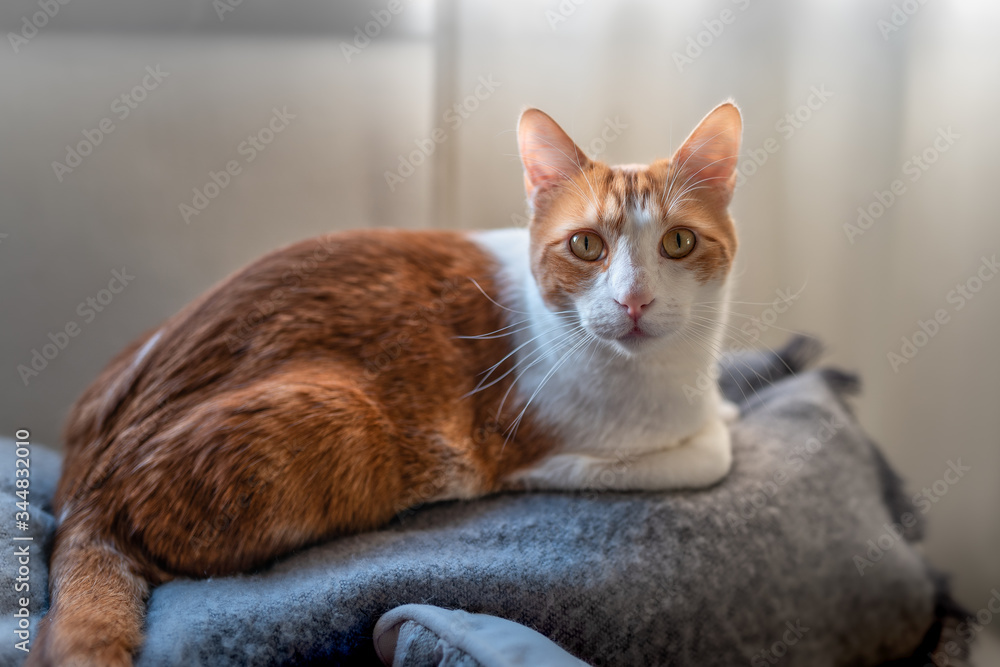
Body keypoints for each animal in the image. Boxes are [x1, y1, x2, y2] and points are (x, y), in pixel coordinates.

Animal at [27, 102, 744, 664]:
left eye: (679, 242)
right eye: (587, 246)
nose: (633, 301)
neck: (666, 371)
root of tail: (86, 488)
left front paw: (727, 406)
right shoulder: (528, 455)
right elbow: (709, 454)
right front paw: (718, 424)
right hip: (342, 419)